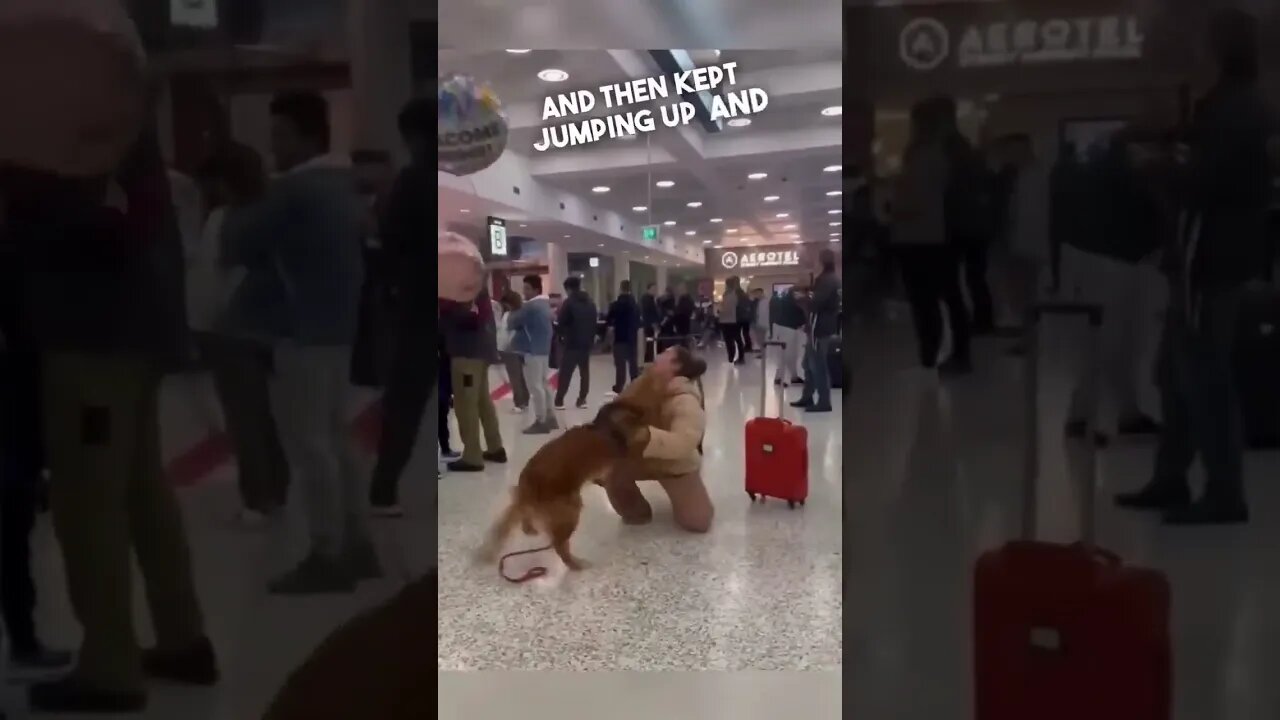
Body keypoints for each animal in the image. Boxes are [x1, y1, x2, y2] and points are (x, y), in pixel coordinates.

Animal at [476, 397, 650, 566]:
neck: (605, 426)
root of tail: (531, 486)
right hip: (571, 509)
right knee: (559, 545)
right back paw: (575, 564)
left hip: (524, 497)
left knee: (525, 516)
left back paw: (529, 527)